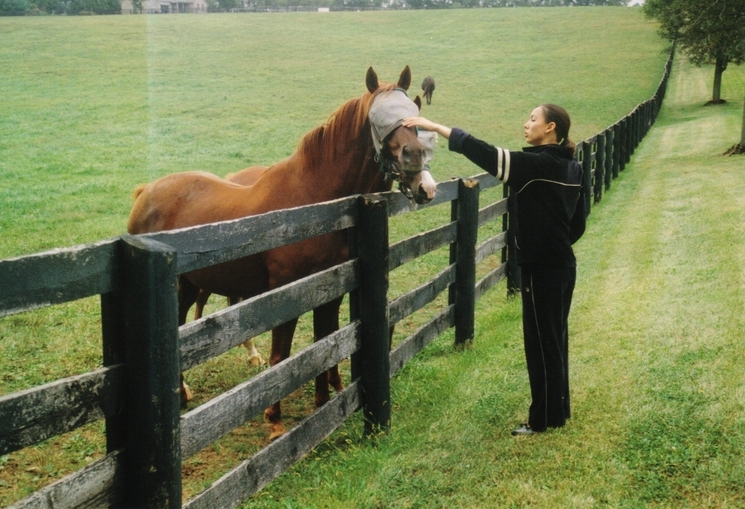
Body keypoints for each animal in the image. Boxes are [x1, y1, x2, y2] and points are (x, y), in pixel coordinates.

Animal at [128, 65, 436, 438]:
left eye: (415, 114)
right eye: (379, 117)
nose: (416, 158)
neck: (311, 203)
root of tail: (146, 191)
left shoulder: (330, 291)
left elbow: (326, 342)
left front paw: (327, 399)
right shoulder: (285, 295)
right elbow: (282, 356)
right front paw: (275, 420)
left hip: (188, 286)